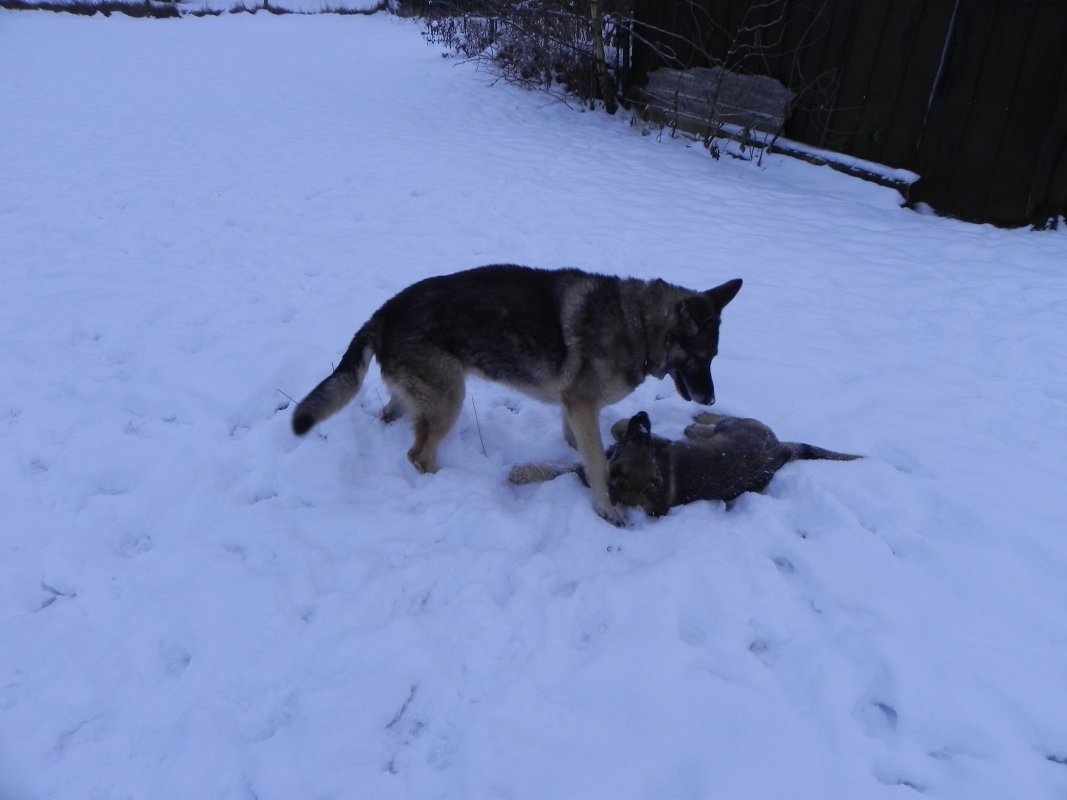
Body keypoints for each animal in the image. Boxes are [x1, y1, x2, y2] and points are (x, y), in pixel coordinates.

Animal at [291, 264, 743, 524]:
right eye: (699, 358)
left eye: (713, 358)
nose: (711, 402)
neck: (640, 325)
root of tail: (381, 316)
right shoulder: (583, 406)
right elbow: (597, 463)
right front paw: (605, 508)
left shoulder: (574, 407)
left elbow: (581, 447)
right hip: (450, 400)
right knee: (418, 454)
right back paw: (453, 483)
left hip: (420, 398)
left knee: (392, 421)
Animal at [509, 411, 860, 517]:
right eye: (641, 434)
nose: (642, 415)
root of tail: (780, 450)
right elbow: (615, 428)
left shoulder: (591, 471)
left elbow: (555, 469)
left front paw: (518, 472)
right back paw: (696, 424)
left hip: (740, 426)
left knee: (725, 419)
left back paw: (697, 422)